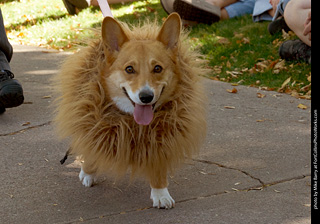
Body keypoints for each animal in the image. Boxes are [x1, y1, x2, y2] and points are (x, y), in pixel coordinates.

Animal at [54, 13, 206, 209]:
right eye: (129, 69)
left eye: (157, 68)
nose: (146, 97)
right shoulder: (93, 123)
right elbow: (92, 145)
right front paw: (88, 171)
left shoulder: (159, 138)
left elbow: (158, 168)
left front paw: (160, 194)